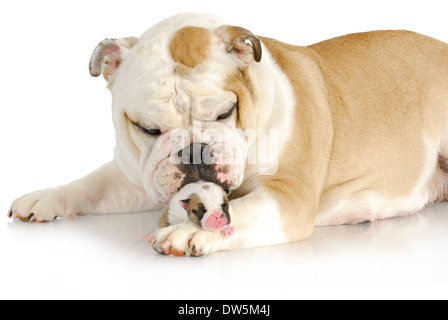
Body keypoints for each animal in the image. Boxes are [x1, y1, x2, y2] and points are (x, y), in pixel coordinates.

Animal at [7, 12, 448, 256]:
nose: (193, 151)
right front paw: (47, 197)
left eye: (225, 112)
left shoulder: (285, 198)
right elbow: (93, 185)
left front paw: (185, 233)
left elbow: (242, 212)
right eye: (149, 128)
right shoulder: (135, 172)